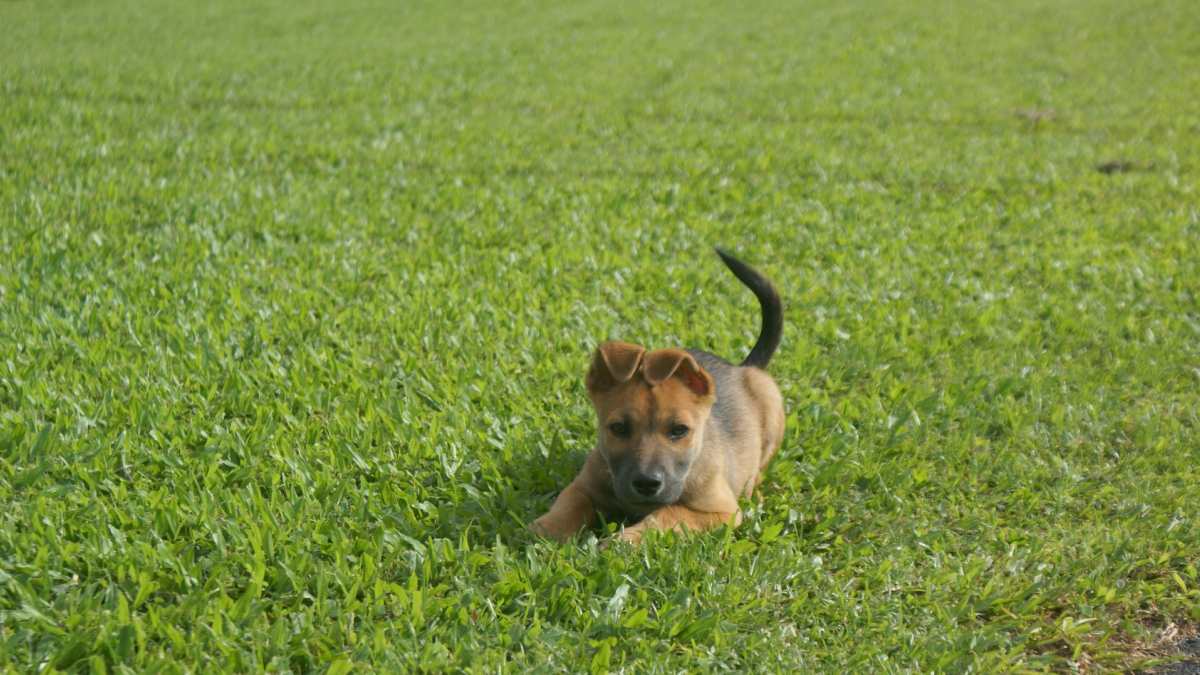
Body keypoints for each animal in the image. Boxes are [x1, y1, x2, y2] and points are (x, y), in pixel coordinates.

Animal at [535, 249, 787, 542]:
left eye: (680, 430)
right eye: (618, 428)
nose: (646, 483)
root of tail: (742, 367)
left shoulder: (721, 511)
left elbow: (667, 514)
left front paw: (626, 540)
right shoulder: (583, 487)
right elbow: (571, 504)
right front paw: (549, 528)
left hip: (770, 404)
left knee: (756, 472)